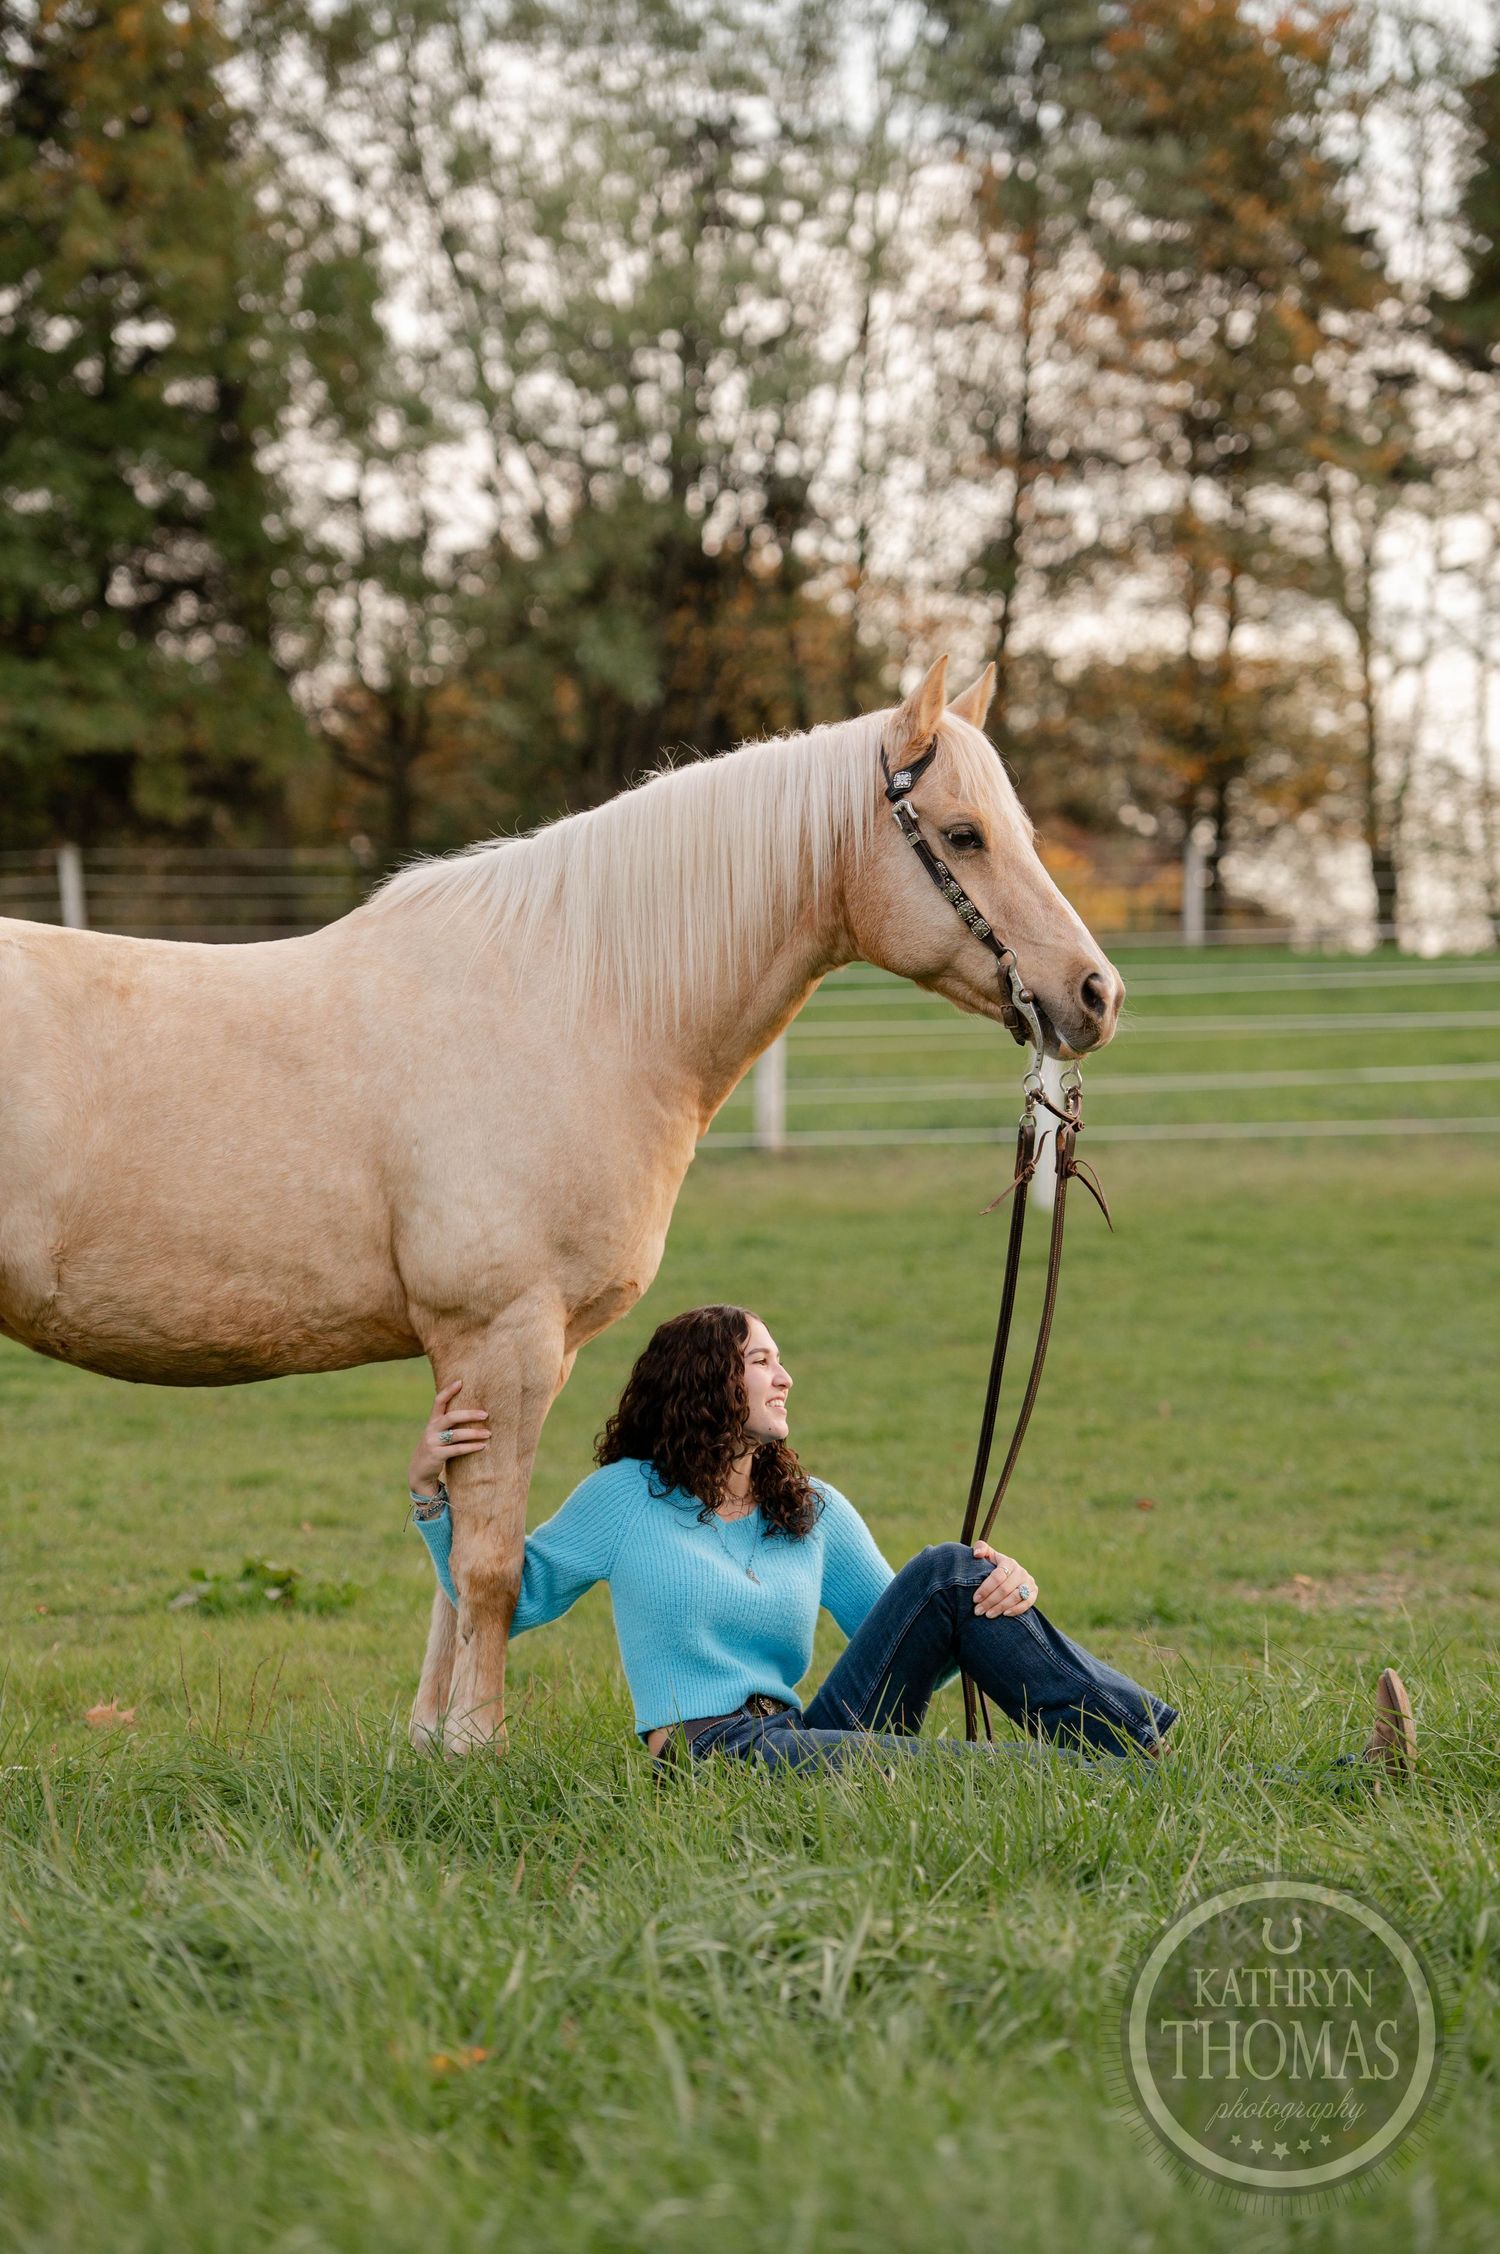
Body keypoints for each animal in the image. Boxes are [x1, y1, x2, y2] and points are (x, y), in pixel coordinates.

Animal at [0, 657, 1123, 1751]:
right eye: (964, 834)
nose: (1096, 994)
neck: (576, 1007)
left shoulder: (498, 1356)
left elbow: (459, 1562)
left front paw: (432, 1743)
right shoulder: (505, 1336)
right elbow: (491, 1566)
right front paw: (478, 1745)